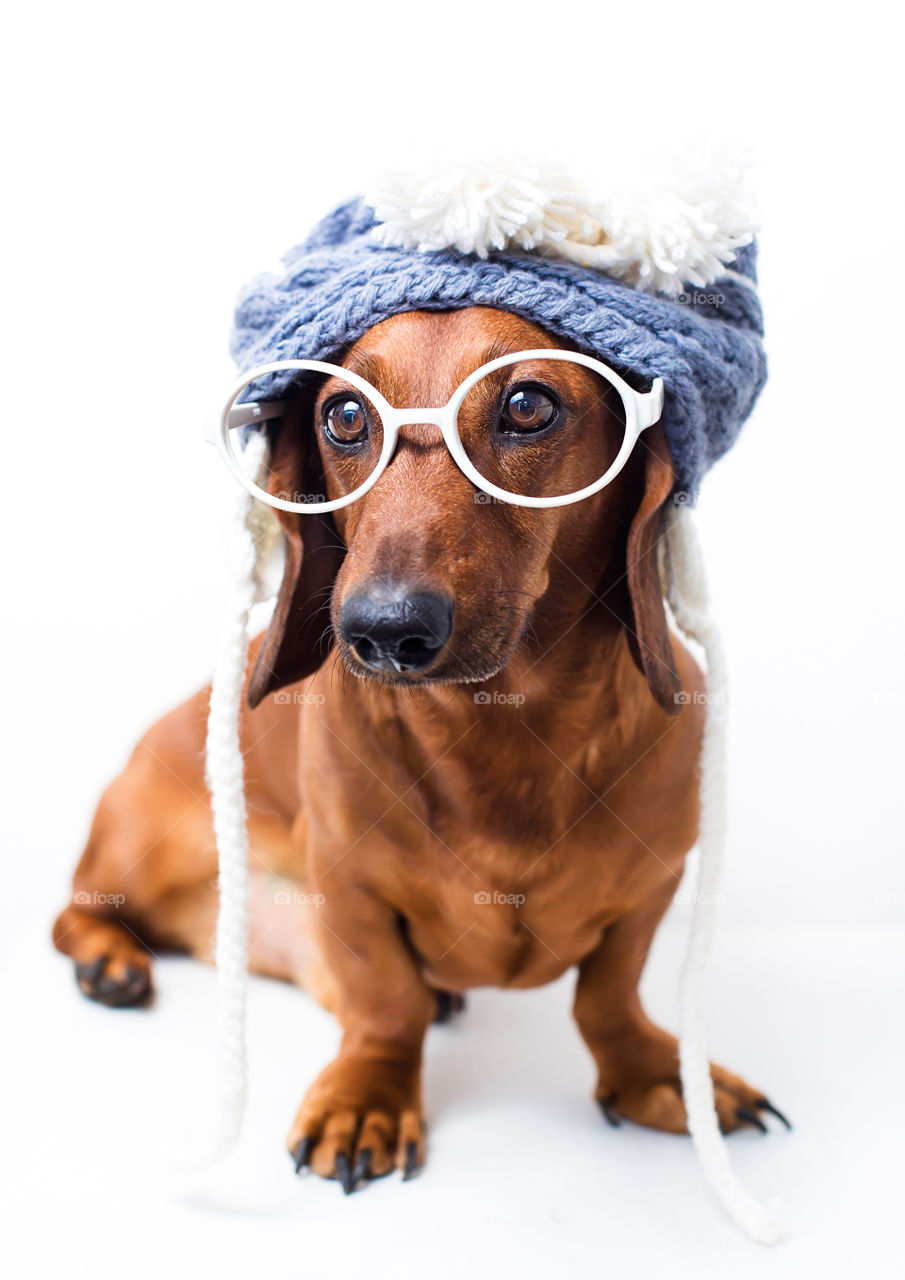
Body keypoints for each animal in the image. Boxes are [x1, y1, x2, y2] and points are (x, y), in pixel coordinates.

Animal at [54, 307, 783, 1187]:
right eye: (344, 415)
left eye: (528, 405)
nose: (381, 630)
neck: (502, 731)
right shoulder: (349, 888)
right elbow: (386, 1001)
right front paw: (366, 1097)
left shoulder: (651, 887)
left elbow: (607, 997)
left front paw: (650, 1075)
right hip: (142, 850)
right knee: (74, 911)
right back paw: (109, 963)